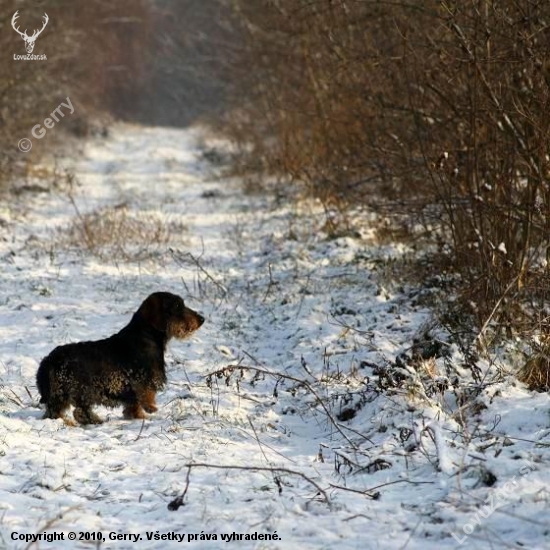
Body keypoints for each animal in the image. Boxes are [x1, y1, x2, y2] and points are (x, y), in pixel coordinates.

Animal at [36, 294, 205, 426]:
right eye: (177, 305)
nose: (202, 319)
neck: (146, 335)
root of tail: (49, 360)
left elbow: (133, 406)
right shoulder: (143, 381)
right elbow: (144, 397)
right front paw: (148, 412)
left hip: (64, 395)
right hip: (79, 391)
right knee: (73, 412)